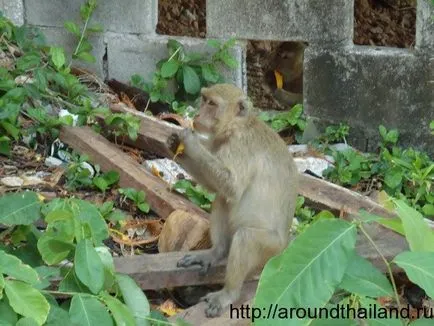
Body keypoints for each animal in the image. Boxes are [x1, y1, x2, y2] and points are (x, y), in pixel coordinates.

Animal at [166, 83, 298, 318]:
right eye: (204, 99)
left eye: (211, 104)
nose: (197, 115)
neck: (237, 126)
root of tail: (284, 249)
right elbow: (216, 189)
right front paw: (175, 146)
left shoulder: (240, 146)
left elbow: (232, 186)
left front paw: (190, 143)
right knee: (221, 201)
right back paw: (216, 253)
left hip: (270, 249)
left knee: (246, 236)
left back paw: (229, 293)